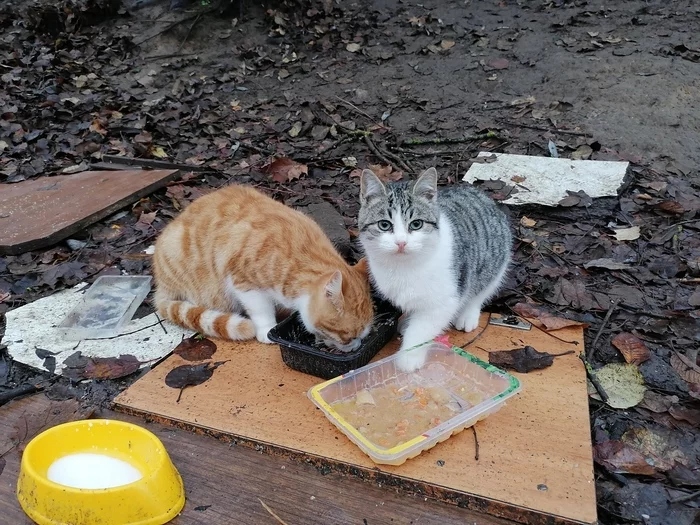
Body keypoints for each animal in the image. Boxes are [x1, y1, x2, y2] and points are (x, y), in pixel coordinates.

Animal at [152, 184, 372, 352]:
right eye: (347, 336)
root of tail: (160, 281)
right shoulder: (244, 282)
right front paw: (267, 330)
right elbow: (260, 309)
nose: (356, 347)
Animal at [358, 166, 512, 370]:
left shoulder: (444, 301)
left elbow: (421, 330)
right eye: (384, 225)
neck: (403, 266)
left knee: (482, 290)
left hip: (494, 262)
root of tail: (482, 195)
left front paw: (408, 359)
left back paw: (468, 314)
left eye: (416, 224)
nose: (401, 242)